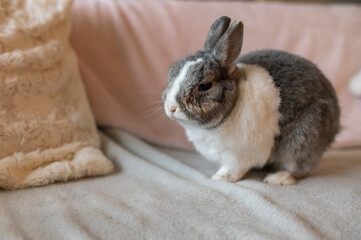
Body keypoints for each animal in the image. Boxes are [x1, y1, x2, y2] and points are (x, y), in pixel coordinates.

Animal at [162, 16, 338, 186]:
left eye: (204, 86)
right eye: (171, 71)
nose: (171, 108)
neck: (232, 108)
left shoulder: (237, 157)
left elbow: (233, 170)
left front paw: (218, 178)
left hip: (302, 140)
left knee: (299, 168)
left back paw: (277, 178)